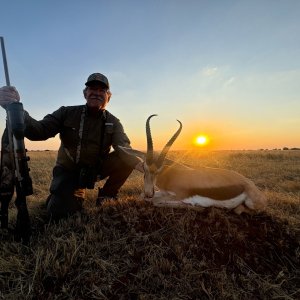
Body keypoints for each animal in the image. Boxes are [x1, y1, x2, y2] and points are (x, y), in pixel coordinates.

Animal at [118, 113, 266, 214]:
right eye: (144, 168)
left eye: (159, 171)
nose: (149, 192)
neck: (171, 176)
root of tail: (250, 184)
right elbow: (142, 196)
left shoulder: (179, 195)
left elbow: (154, 201)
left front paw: (197, 207)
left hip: (251, 204)